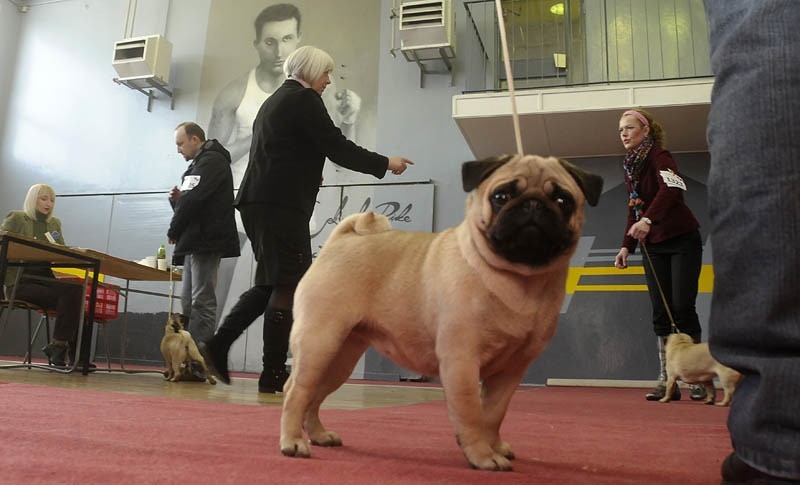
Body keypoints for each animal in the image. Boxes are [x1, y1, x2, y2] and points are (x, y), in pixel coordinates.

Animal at [280, 155, 600, 468]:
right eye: (501, 196)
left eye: (563, 200)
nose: (533, 204)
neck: (519, 280)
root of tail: (342, 240)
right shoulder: (462, 362)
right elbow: (471, 413)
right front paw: (482, 455)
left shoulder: (511, 371)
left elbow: (493, 414)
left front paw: (493, 445)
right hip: (319, 344)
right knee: (296, 392)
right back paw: (292, 441)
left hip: (340, 359)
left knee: (313, 397)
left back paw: (318, 434)